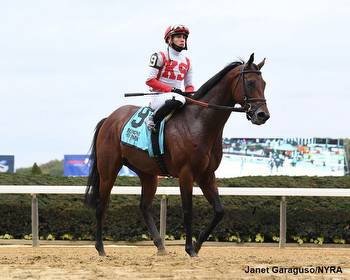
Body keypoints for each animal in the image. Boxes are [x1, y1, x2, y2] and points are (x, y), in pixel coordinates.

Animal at [85, 52, 270, 256]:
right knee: (101, 206)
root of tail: (109, 119)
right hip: (108, 170)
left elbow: (219, 211)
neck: (199, 123)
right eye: (251, 83)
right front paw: (190, 249)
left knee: (144, 206)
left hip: (148, 173)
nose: (263, 115)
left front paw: (197, 245)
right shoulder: (186, 173)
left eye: (264, 83)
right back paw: (101, 248)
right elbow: (188, 211)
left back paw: (160, 245)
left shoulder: (207, 174)